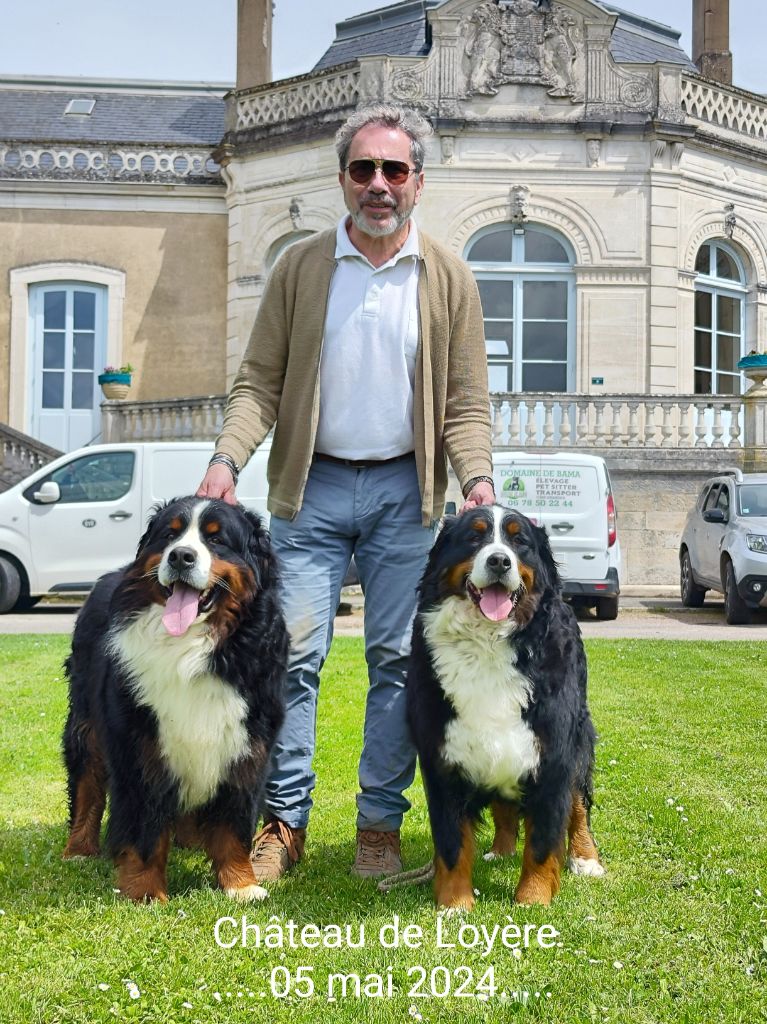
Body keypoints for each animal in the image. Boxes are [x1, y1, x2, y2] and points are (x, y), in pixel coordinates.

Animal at [63, 495, 286, 905]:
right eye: (171, 534)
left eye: (216, 540)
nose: (181, 556)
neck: (190, 649)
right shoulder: (140, 745)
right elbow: (144, 827)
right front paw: (146, 891)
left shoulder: (246, 746)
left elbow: (233, 825)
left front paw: (241, 884)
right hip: (86, 724)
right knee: (87, 784)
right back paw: (78, 850)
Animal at [407, 507, 606, 909]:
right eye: (474, 537)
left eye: (519, 542)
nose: (499, 560)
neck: (487, 644)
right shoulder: (443, 758)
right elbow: (451, 844)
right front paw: (454, 905)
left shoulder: (553, 753)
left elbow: (543, 842)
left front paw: (532, 900)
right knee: (504, 803)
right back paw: (500, 850)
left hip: (578, 738)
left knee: (579, 804)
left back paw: (585, 857)